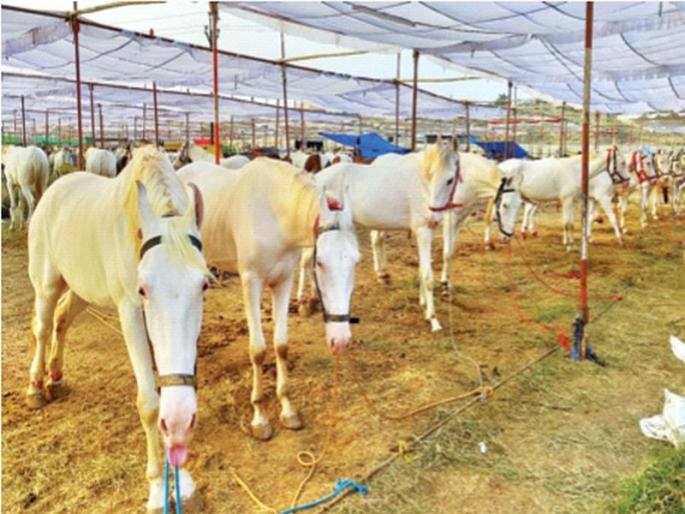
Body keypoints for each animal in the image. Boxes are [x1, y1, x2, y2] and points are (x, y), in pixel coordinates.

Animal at [26, 146, 208, 510]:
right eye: (143, 289)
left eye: (204, 286)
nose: (179, 420)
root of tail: (53, 188)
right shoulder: (130, 311)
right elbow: (150, 403)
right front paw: (157, 489)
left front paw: (183, 483)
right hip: (47, 282)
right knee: (42, 325)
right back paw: (36, 386)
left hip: (82, 287)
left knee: (62, 318)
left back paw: (55, 377)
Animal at [178, 158, 359, 440]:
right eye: (319, 262)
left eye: (356, 261)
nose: (340, 340)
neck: (275, 213)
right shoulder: (251, 283)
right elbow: (258, 350)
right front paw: (260, 417)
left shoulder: (283, 282)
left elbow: (281, 345)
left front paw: (287, 410)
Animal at [297, 142, 461, 332]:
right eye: (431, 175)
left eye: (450, 179)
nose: (432, 217)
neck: (421, 188)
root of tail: (316, 178)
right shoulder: (423, 231)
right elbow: (428, 276)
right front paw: (434, 320)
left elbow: (422, 269)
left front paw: (424, 307)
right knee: (305, 260)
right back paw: (302, 302)